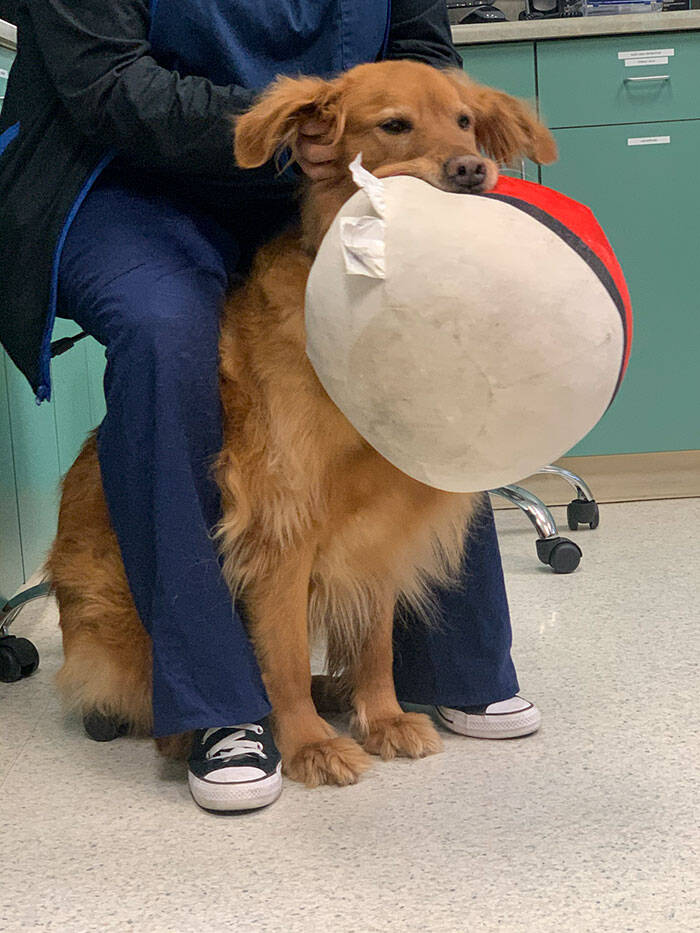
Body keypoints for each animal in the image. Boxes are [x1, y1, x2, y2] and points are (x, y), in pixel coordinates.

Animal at [46, 58, 556, 788]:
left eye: (464, 121)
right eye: (393, 125)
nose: (471, 169)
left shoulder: (382, 524)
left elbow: (374, 644)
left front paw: (383, 716)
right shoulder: (280, 523)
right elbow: (281, 654)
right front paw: (308, 744)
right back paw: (202, 731)